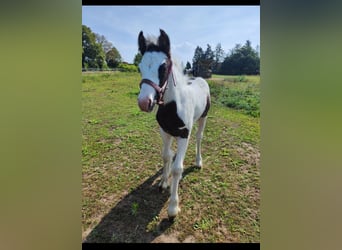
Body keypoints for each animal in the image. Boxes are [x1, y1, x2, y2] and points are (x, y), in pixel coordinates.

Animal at [136, 29, 210, 221]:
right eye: (140, 67)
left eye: (163, 67)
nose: (144, 102)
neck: (173, 106)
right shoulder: (165, 131)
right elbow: (165, 156)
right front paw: (163, 182)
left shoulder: (184, 134)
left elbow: (177, 169)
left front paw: (173, 208)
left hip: (203, 118)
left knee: (198, 137)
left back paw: (198, 161)